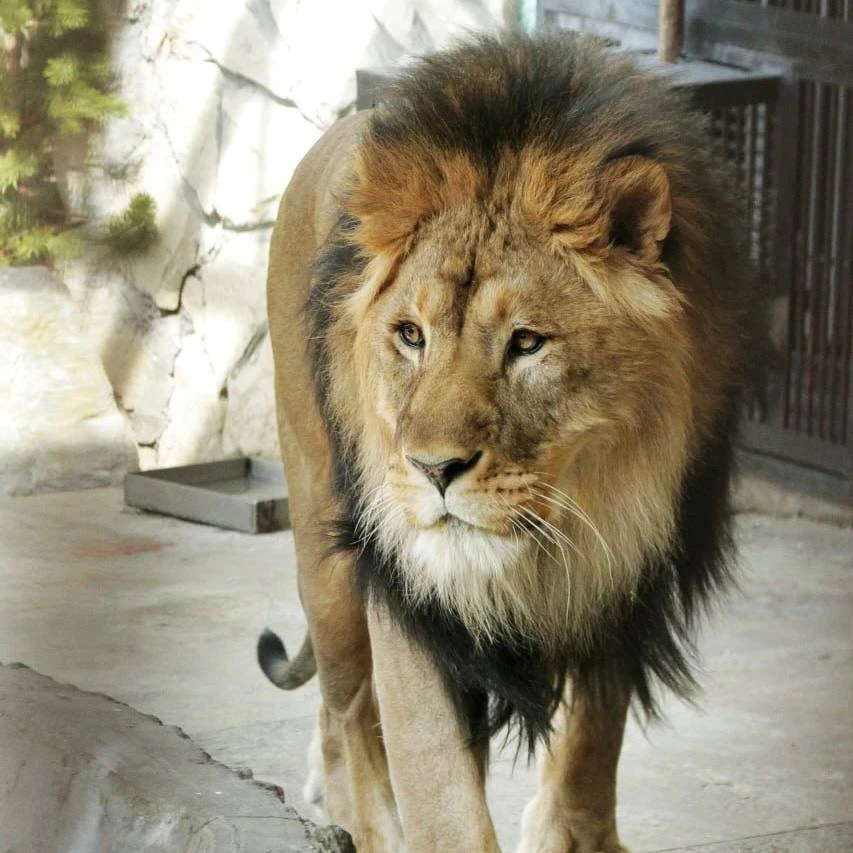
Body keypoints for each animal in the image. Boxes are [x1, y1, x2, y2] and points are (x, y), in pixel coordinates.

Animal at [259, 33, 757, 853]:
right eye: (410, 335)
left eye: (527, 342)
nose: (433, 469)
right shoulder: (404, 590)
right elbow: (439, 790)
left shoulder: (623, 576)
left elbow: (591, 740)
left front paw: (574, 833)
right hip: (324, 557)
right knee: (348, 706)